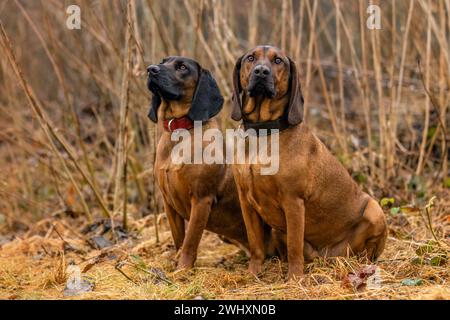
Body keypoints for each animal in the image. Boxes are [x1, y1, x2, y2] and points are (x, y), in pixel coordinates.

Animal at [148, 56, 274, 268]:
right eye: (163, 61)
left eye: (182, 67)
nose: (150, 69)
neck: (180, 133)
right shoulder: (169, 203)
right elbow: (179, 239)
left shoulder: (201, 199)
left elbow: (190, 241)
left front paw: (183, 269)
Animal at [230, 46, 388, 278]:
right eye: (251, 58)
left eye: (278, 61)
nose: (261, 72)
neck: (264, 132)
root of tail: (328, 256)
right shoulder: (245, 201)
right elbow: (255, 244)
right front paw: (253, 273)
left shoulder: (293, 201)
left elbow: (294, 245)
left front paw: (294, 278)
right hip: (279, 230)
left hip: (374, 210)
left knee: (368, 253)